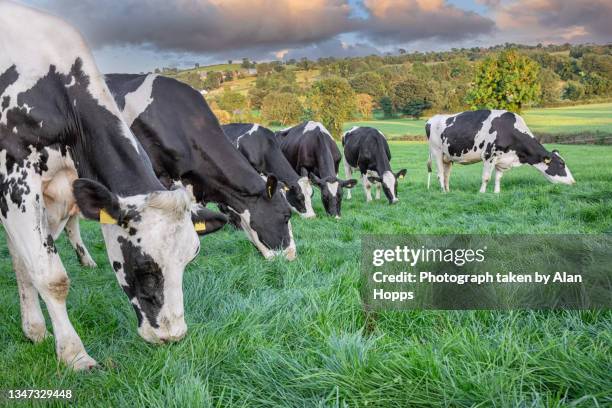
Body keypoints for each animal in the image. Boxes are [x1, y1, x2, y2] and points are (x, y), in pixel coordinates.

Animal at [0, 0, 210, 370]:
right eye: (143, 265)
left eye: (191, 257)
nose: (173, 336)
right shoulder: (14, 176)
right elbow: (51, 275)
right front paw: (75, 356)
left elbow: (26, 262)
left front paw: (35, 329)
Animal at [428, 110, 576, 193]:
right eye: (561, 164)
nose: (573, 182)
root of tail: (431, 119)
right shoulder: (489, 156)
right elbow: (486, 177)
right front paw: (482, 193)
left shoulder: (502, 159)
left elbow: (498, 178)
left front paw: (496, 193)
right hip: (436, 152)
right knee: (440, 174)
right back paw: (443, 191)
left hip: (448, 157)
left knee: (446, 174)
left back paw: (448, 191)